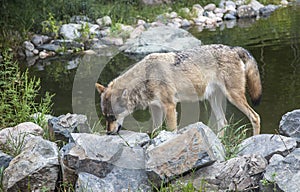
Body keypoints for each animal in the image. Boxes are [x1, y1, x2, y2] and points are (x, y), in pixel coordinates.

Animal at [95, 44, 262, 136]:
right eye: (105, 117)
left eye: (112, 117)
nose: (108, 133)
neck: (147, 76)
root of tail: (233, 49)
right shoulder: (156, 108)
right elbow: (155, 131)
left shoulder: (169, 107)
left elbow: (171, 130)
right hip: (214, 100)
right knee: (224, 122)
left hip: (233, 97)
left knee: (255, 116)